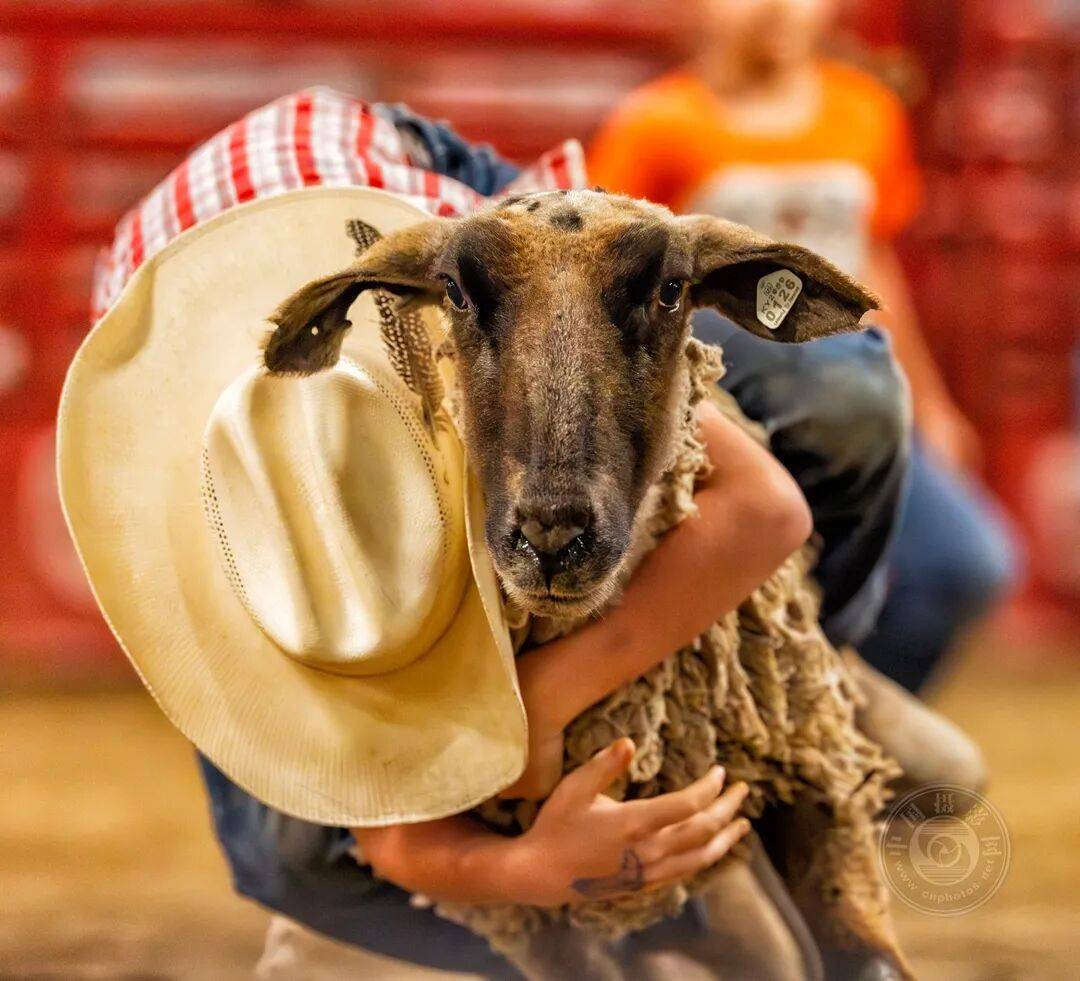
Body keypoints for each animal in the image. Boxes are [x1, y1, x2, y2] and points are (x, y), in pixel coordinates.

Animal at [265, 189, 915, 980]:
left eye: (671, 290)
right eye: (455, 291)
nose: (552, 535)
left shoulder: (813, 768)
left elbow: (868, 953)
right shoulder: (530, 901)